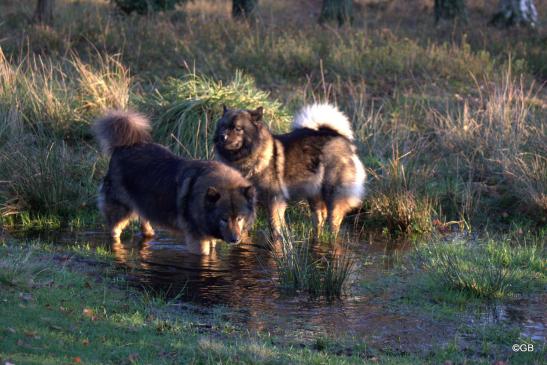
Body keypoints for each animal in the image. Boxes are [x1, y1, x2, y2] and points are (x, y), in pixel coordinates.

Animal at [93, 111, 256, 253]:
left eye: (239, 218)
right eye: (224, 219)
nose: (235, 239)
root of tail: (124, 146)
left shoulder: (210, 238)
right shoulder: (198, 239)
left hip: (145, 205)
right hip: (119, 211)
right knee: (114, 232)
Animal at [216, 102, 366, 239]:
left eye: (237, 128)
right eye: (223, 126)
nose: (222, 136)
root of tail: (340, 137)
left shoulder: (274, 199)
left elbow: (274, 226)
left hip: (333, 196)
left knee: (334, 223)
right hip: (314, 194)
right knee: (319, 219)